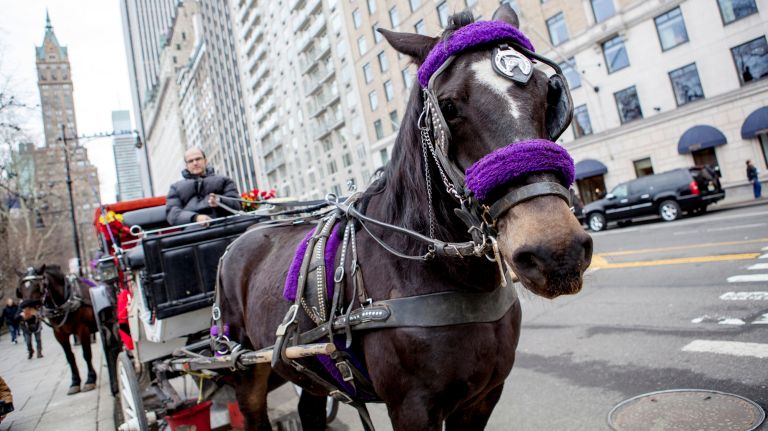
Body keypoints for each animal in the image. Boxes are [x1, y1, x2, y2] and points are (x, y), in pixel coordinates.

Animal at [16, 265, 99, 395]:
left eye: (39, 287)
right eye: (20, 290)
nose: (30, 319)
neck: (66, 302)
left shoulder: (83, 330)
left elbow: (86, 354)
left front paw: (90, 380)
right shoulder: (60, 334)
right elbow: (69, 357)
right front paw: (75, 382)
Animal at [218, 6, 592, 430]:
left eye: (548, 92)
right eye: (447, 107)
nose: (556, 251)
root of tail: (241, 238)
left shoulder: (483, 398)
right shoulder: (412, 408)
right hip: (246, 371)